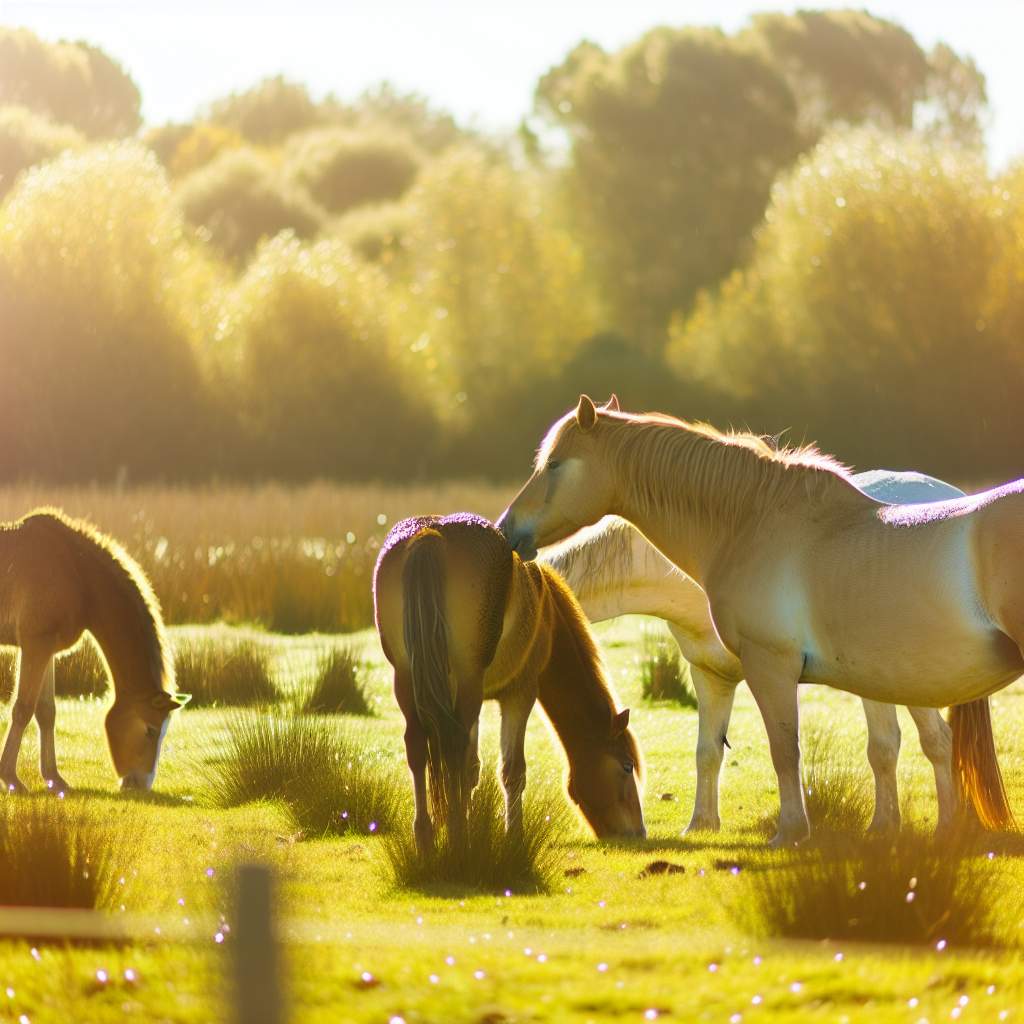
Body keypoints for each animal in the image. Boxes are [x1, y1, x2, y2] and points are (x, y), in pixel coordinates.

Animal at [0, 509, 190, 790]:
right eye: (151, 730)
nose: (140, 785)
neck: (76, 573)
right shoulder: (36, 643)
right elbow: (23, 708)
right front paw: (11, 779)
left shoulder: (47, 648)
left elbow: (46, 712)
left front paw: (54, 779)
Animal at [376, 512, 643, 856]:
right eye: (626, 766)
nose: (639, 832)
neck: (544, 611)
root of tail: (430, 534)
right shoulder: (520, 693)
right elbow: (512, 772)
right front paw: (512, 837)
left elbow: (471, 769)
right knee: (452, 747)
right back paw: (458, 836)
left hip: (407, 678)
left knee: (418, 746)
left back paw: (426, 836)